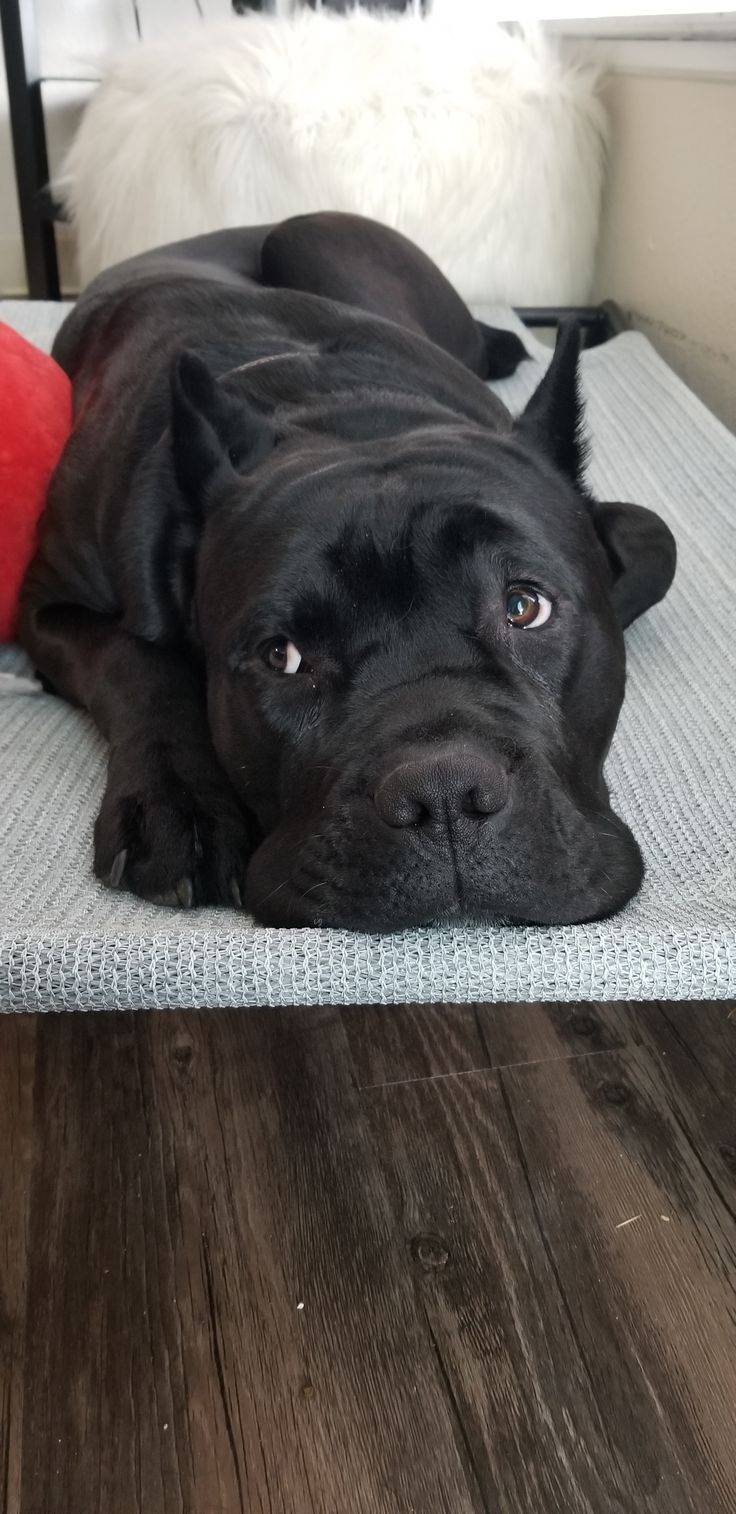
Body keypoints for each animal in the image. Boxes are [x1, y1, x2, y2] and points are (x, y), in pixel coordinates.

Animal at [20, 210, 675, 920]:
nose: (445, 792)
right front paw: (179, 802)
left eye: (526, 608)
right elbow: (134, 661)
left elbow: (658, 547)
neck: (332, 412)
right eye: (282, 657)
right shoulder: (44, 604)